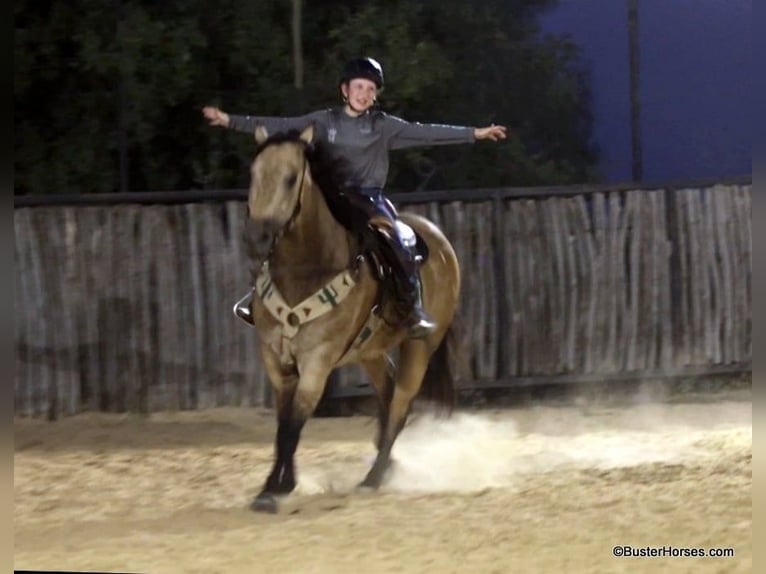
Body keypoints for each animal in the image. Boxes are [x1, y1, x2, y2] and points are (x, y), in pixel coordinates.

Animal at [242, 124, 461, 513]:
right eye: (253, 174)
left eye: (290, 178)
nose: (257, 238)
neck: (306, 271)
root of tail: (439, 241)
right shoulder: (274, 357)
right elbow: (283, 423)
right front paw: (276, 483)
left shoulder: (317, 361)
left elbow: (294, 423)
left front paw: (277, 489)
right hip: (371, 352)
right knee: (387, 395)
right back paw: (386, 465)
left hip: (420, 348)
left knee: (400, 405)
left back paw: (373, 478)